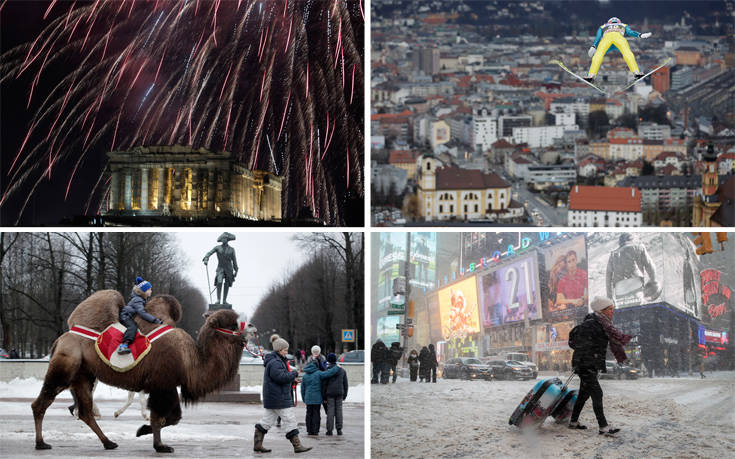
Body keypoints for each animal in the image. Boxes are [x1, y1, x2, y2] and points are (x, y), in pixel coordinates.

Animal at [32, 292, 247, 452]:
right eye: (232, 324)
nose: (250, 328)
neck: (191, 360)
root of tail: (60, 339)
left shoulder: (168, 385)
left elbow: (172, 417)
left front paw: (143, 431)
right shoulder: (162, 384)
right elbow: (160, 416)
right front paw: (159, 445)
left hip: (83, 376)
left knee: (85, 412)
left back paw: (109, 442)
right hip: (65, 367)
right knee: (42, 402)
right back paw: (41, 443)